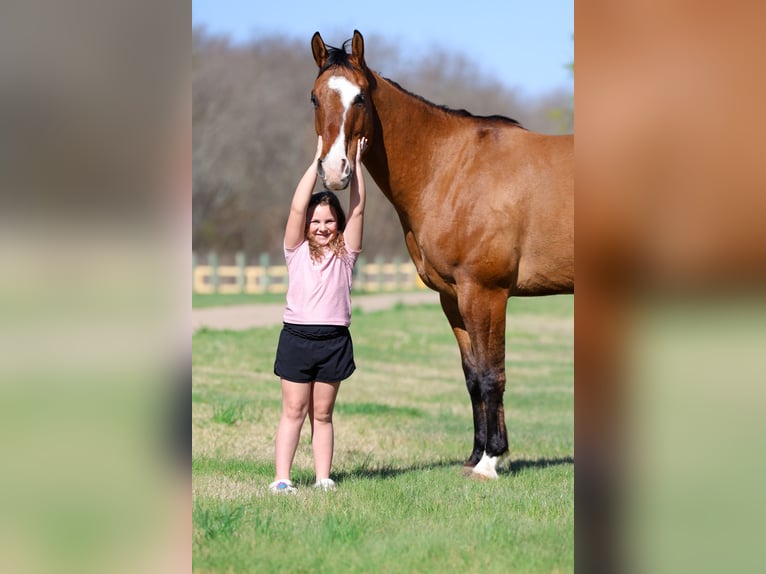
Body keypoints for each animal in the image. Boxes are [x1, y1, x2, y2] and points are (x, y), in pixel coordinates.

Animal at [309, 30, 574, 479]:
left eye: (360, 97)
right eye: (315, 98)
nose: (335, 171)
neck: (450, 168)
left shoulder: (485, 293)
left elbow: (492, 373)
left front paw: (490, 461)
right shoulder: (453, 297)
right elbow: (472, 376)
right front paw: (476, 454)